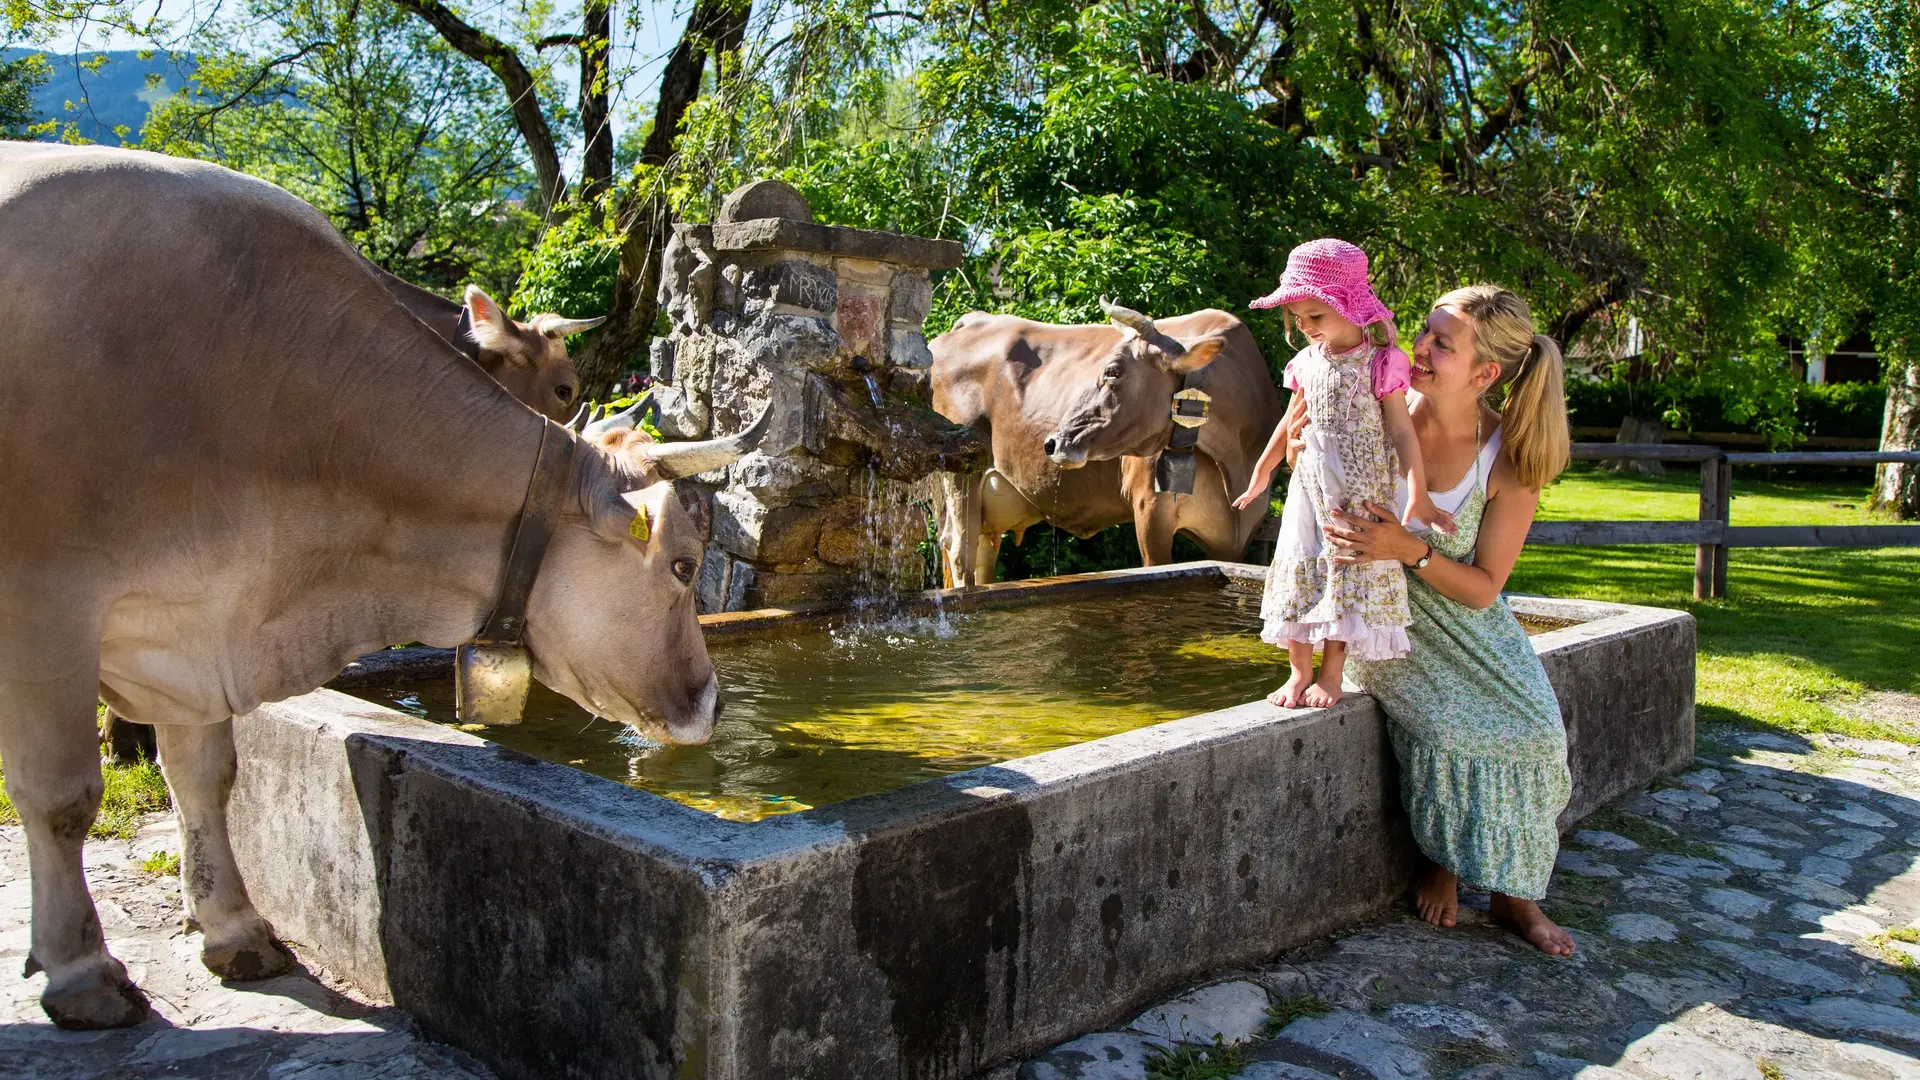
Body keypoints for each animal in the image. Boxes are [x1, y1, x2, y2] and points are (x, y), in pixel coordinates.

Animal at [925, 297, 1274, 584]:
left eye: (1113, 371)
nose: (1052, 443)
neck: (1233, 462)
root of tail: (970, 321)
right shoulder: (1150, 509)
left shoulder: (1235, 539)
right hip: (959, 475)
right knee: (959, 553)